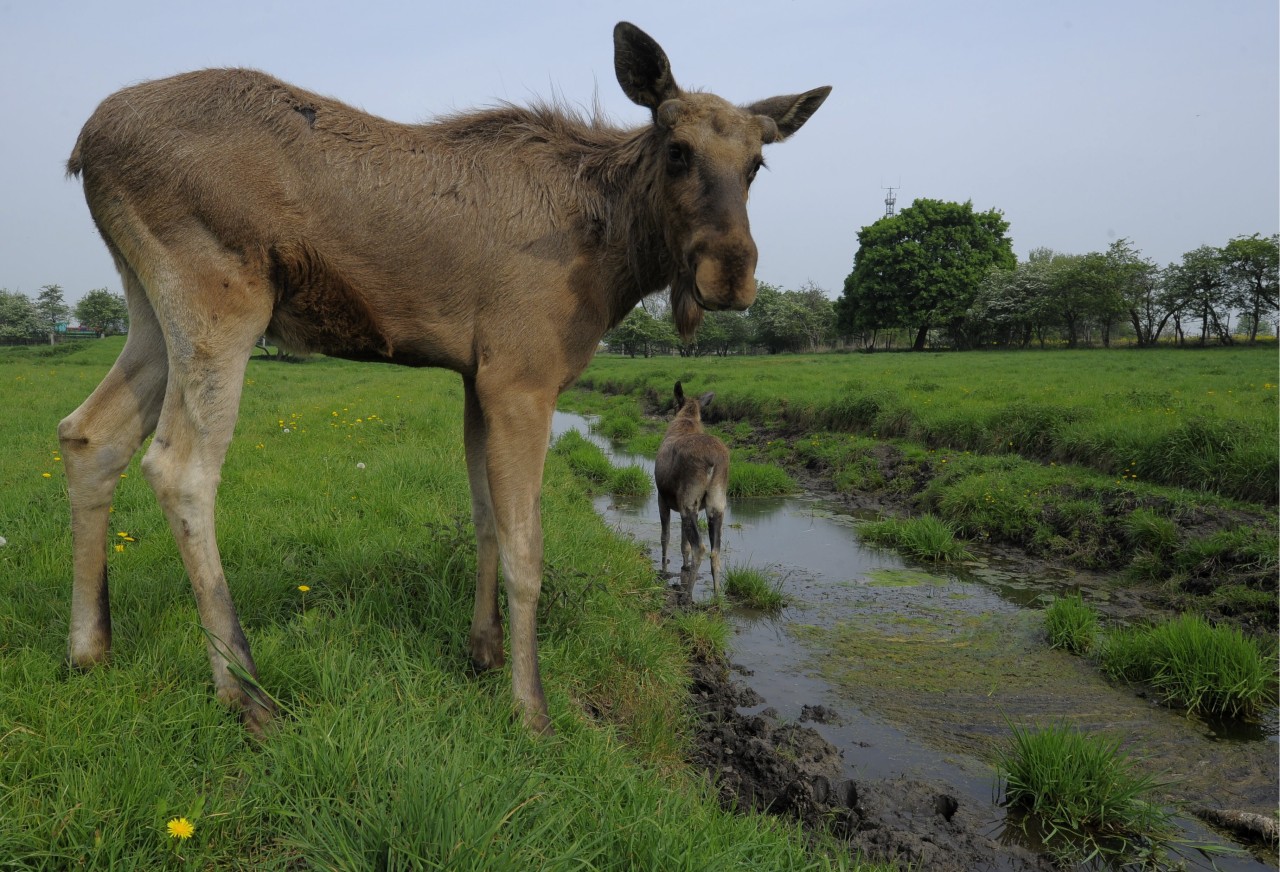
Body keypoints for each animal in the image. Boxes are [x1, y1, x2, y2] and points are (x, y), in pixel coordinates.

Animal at [62, 20, 829, 732]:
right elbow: (527, 547)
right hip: (221, 302)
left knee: (88, 434)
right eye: (677, 150)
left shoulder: (476, 377)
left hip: (150, 311)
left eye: (757, 163)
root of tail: (84, 146)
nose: (731, 274)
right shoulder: (522, 377)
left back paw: (90, 647)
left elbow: (485, 516)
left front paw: (482, 650)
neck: (616, 256)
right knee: (179, 469)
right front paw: (530, 706)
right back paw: (244, 689)